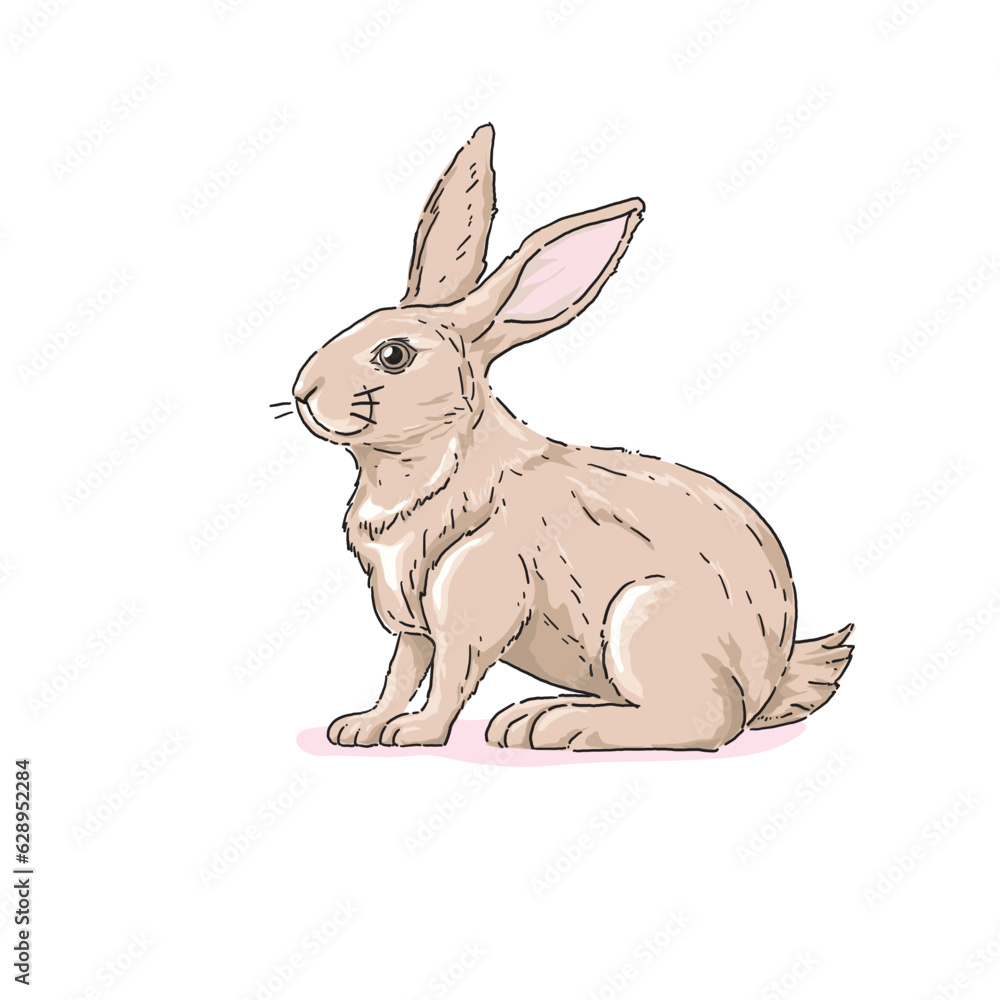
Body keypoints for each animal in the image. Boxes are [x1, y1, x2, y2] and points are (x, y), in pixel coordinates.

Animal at [291, 123, 854, 751]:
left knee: (707, 721)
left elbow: (449, 679)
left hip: (642, 622)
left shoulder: (473, 603)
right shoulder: (410, 624)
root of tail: (771, 678)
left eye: (393, 356)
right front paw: (360, 727)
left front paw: (413, 734)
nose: (303, 392)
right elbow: (400, 672)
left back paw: (554, 724)